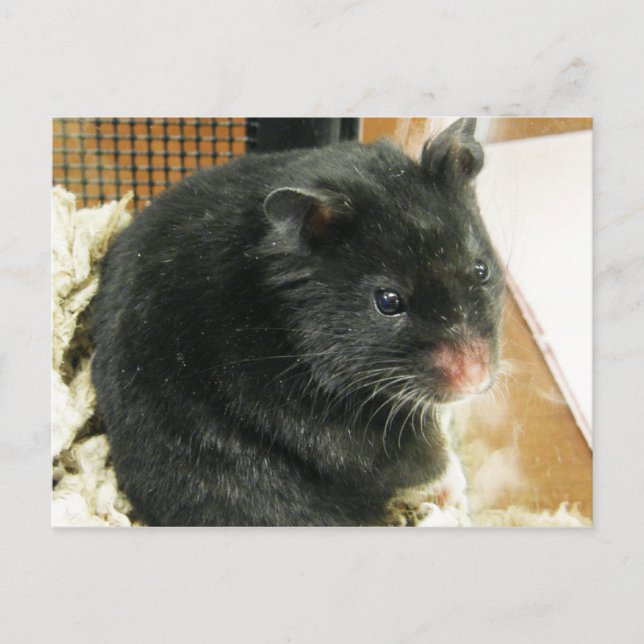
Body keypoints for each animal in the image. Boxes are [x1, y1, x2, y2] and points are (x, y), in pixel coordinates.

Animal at [90, 117, 504, 526]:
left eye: (482, 270)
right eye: (388, 302)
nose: (476, 380)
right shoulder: (340, 432)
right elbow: (423, 462)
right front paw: (454, 488)